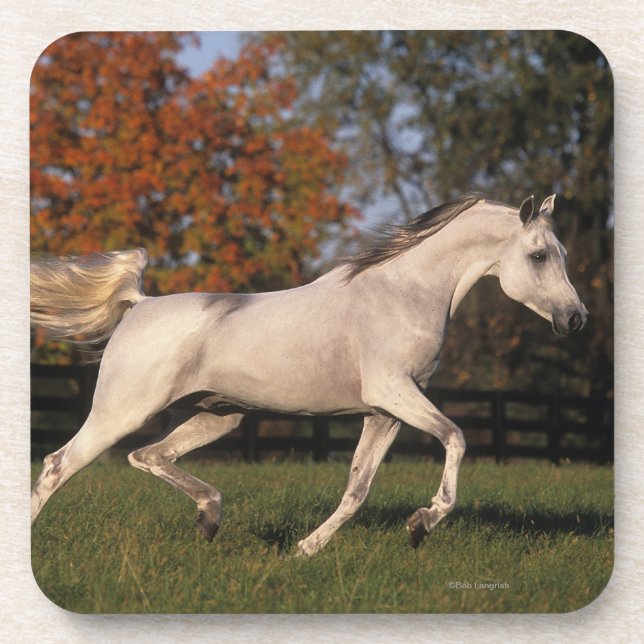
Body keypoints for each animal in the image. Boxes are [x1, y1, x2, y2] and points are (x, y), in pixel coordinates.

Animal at [30, 193, 587, 556]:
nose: (576, 319)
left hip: (218, 417)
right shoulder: (395, 391)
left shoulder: (384, 413)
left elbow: (357, 489)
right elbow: (456, 437)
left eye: (562, 253)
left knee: (147, 456)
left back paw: (210, 519)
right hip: (121, 412)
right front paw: (423, 522)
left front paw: (306, 549)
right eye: (539, 255)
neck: (403, 293)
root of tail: (139, 304)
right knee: (59, 464)